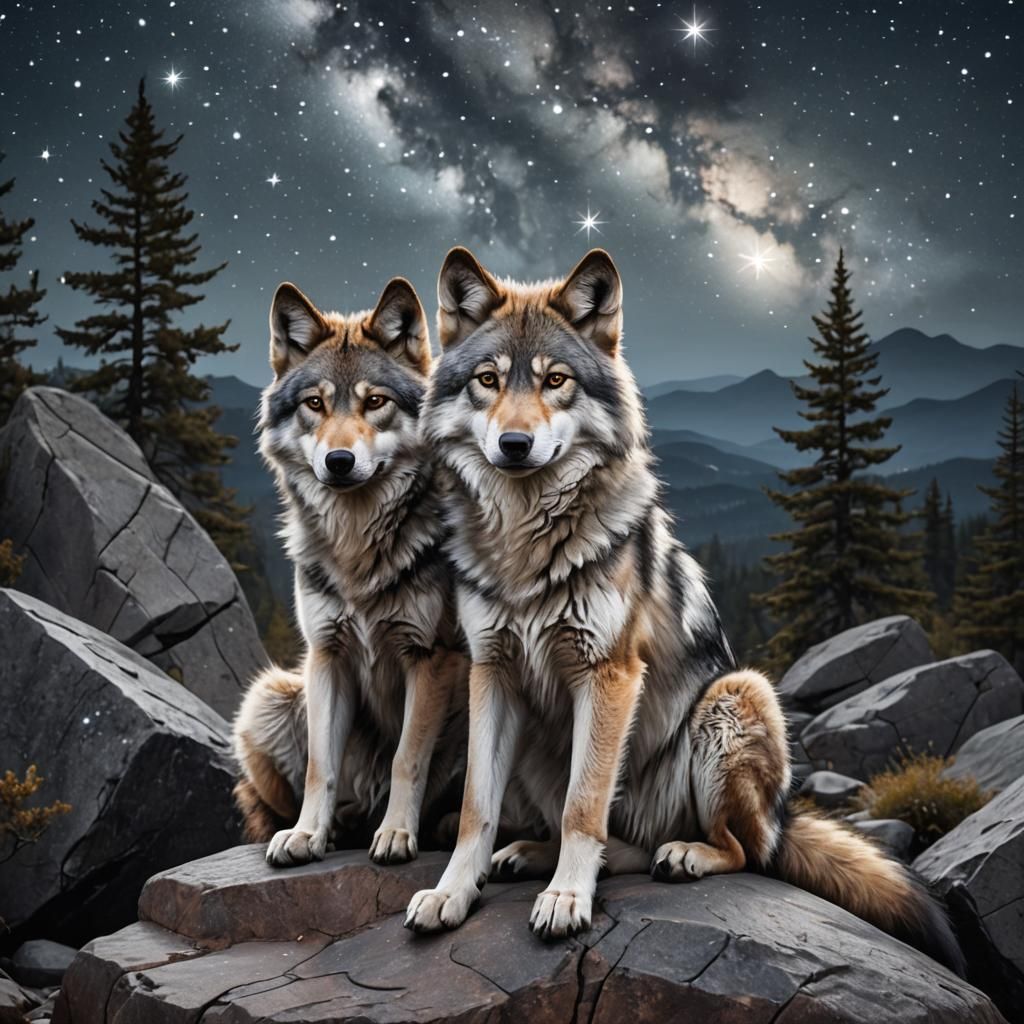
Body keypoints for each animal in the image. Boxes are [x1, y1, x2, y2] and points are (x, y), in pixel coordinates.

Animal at [232, 277, 467, 867]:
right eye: (315, 404)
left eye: (375, 402)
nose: (338, 462)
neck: (357, 543)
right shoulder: (326, 655)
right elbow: (322, 764)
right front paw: (306, 834)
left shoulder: (429, 657)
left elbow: (408, 757)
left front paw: (397, 834)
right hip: (270, 694)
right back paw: (339, 824)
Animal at [403, 246, 964, 975]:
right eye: (487, 381)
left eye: (555, 380)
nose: (515, 445)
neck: (525, 544)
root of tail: (785, 817)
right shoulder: (490, 672)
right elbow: (476, 808)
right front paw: (451, 893)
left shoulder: (609, 674)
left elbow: (584, 808)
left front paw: (566, 900)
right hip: (539, 746)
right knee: (612, 836)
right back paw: (530, 853)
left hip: (734, 697)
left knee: (740, 850)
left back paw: (682, 855)